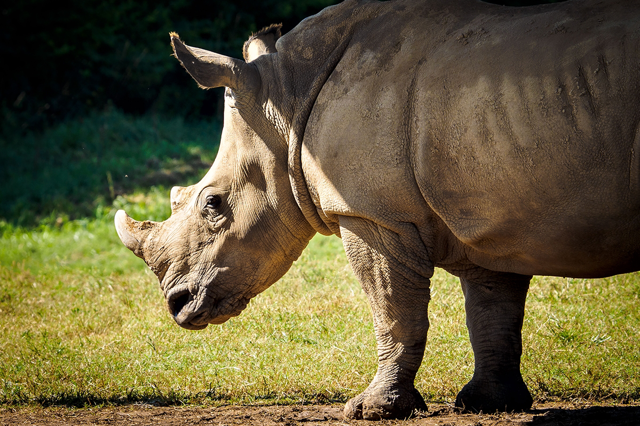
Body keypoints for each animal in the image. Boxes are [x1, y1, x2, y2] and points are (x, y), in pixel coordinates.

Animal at [115, 0, 640, 419]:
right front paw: (490, 403)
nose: (177, 304)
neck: (286, 101)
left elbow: (394, 312)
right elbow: (492, 310)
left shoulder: (373, 215)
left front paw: (372, 410)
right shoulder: (491, 211)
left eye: (213, 204)